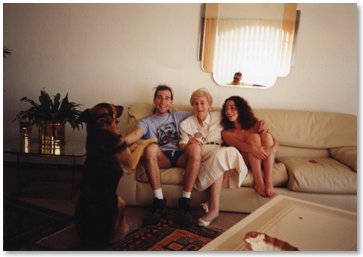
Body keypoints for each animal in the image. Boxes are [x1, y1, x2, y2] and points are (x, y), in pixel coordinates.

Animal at [75, 102, 156, 248]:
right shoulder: (130, 164)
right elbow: (140, 144)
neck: (100, 129)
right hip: (120, 200)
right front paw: (149, 140)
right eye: (113, 108)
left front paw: (134, 143)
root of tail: (91, 241)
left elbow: (130, 144)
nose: (124, 107)